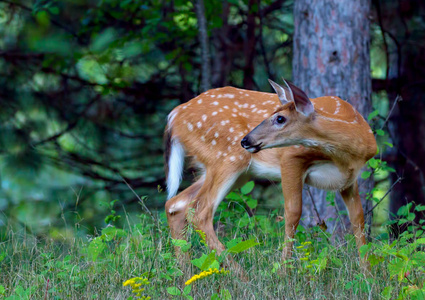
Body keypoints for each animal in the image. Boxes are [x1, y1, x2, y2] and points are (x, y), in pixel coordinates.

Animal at [164, 79, 376, 264]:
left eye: (280, 118)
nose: (246, 140)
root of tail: (174, 114)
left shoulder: (349, 179)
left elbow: (358, 219)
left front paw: (367, 273)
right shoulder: (291, 157)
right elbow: (293, 213)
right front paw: (284, 270)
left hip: (234, 171)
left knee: (175, 204)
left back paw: (186, 273)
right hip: (226, 157)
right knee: (199, 211)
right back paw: (239, 274)